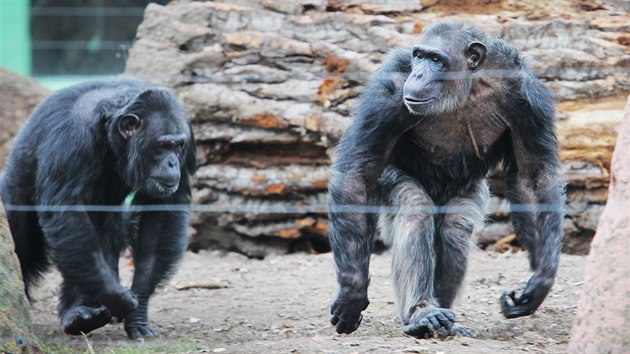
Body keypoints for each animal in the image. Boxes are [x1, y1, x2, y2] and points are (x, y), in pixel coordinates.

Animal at [0, 77, 196, 338]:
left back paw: (78, 314)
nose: (172, 162)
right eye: (162, 146)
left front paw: (138, 309)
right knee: (24, 241)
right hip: (15, 190)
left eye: (178, 145)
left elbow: (161, 213)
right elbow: (68, 214)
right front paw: (118, 298)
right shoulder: (71, 139)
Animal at [328, 20, 564, 338]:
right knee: (414, 208)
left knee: (455, 228)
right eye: (419, 56)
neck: (468, 85)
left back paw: (443, 318)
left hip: (470, 192)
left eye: (436, 59)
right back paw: (422, 314)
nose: (418, 73)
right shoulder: (389, 90)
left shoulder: (530, 101)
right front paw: (352, 293)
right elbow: (357, 173)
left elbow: (533, 180)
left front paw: (541, 281)